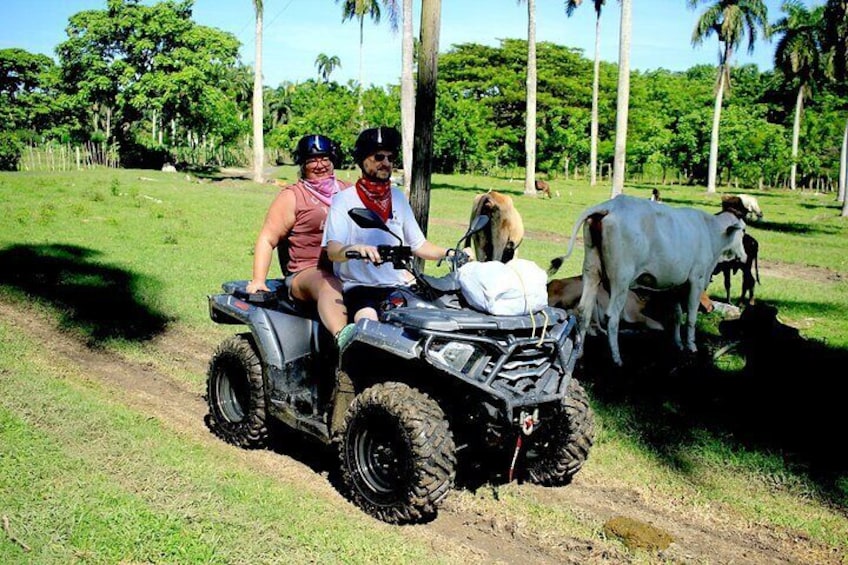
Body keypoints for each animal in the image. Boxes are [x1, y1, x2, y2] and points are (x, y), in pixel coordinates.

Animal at [548, 194, 744, 366]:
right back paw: (616, 358)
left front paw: (678, 344)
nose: (744, 256)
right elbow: (691, 316)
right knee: (612, 315)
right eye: (743, 232)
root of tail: (610, 205)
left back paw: (579, 352)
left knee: (583, 310)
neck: (711, 233)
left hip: (591, 271)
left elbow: (677, 315)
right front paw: (691, 346)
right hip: (621, 278)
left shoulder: (676, 285)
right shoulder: (697, 279)